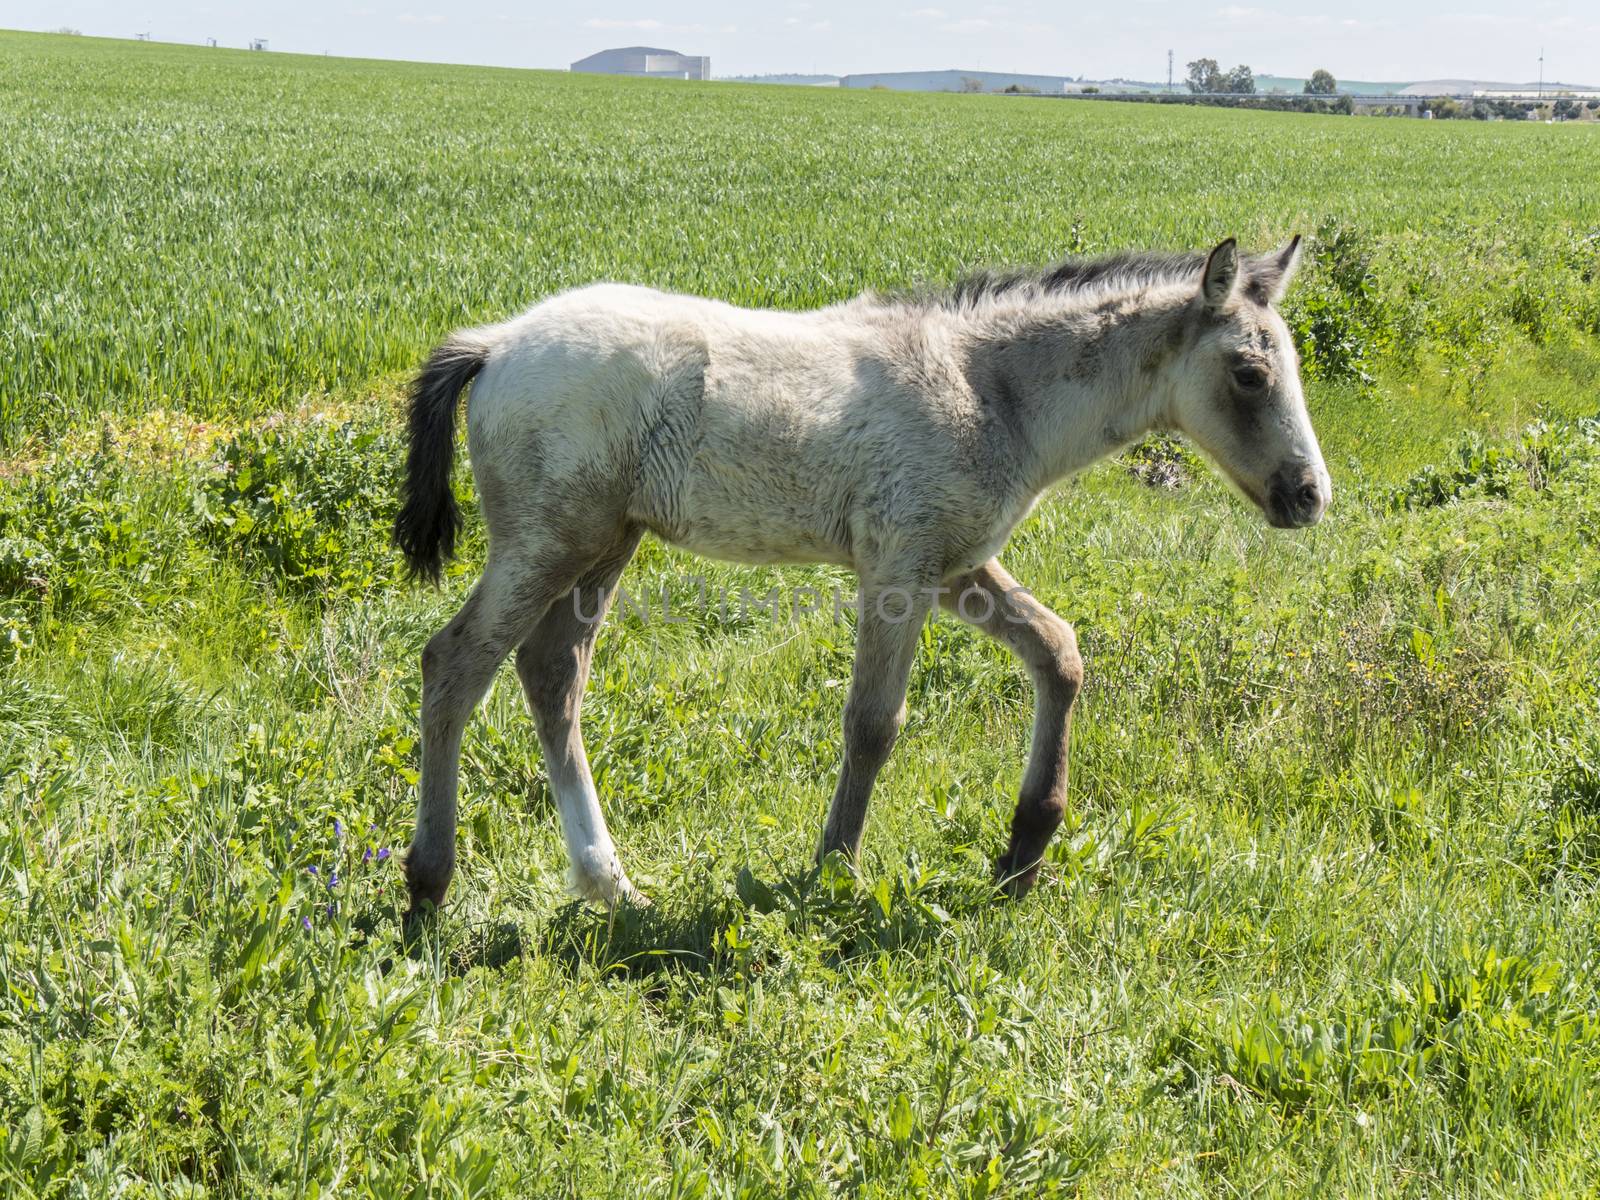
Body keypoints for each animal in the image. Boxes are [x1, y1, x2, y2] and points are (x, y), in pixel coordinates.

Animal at [390, 240, 1324, 928]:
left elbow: (1059, 652)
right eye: (1249, 374)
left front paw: (1024, 850)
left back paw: (611, 886)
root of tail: (496, 342)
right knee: (455, 664)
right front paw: (831, 872)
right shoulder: (898, 569)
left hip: (605, 544)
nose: (1311, 495)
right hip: (547, 541)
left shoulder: (955, 566)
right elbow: (874, 724)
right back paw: (429, 887)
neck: (987, 390)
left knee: (552, 673)